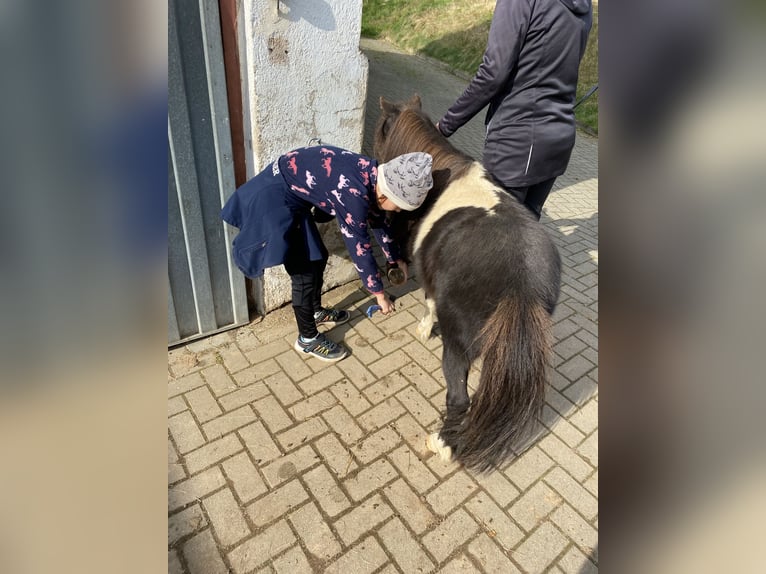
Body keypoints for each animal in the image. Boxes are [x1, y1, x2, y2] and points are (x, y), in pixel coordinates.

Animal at [376, 94, 560, 472]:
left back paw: (442, 443)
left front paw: (424, 328)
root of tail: (523, 283)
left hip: (458, 348)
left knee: (460, 399)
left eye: (378, 132)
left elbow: (430, 302)